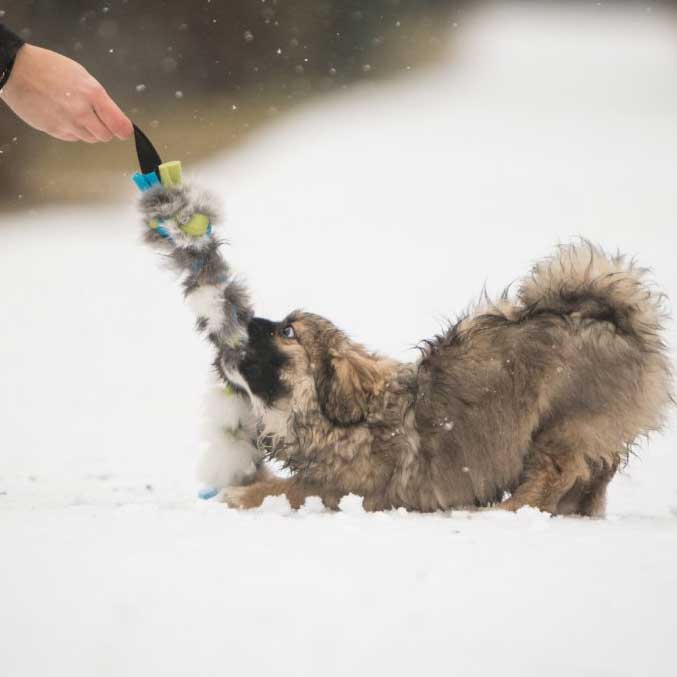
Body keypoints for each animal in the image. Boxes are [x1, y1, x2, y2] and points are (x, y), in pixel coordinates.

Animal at [223, 243, 672, 512]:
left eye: (287, 332)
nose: (246, 320)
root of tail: (621, 325)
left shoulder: (336, 490)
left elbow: (285, 489)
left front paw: (241, 494)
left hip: (564, 425)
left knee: (559, 472)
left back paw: (509, 510)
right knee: (590, 481)